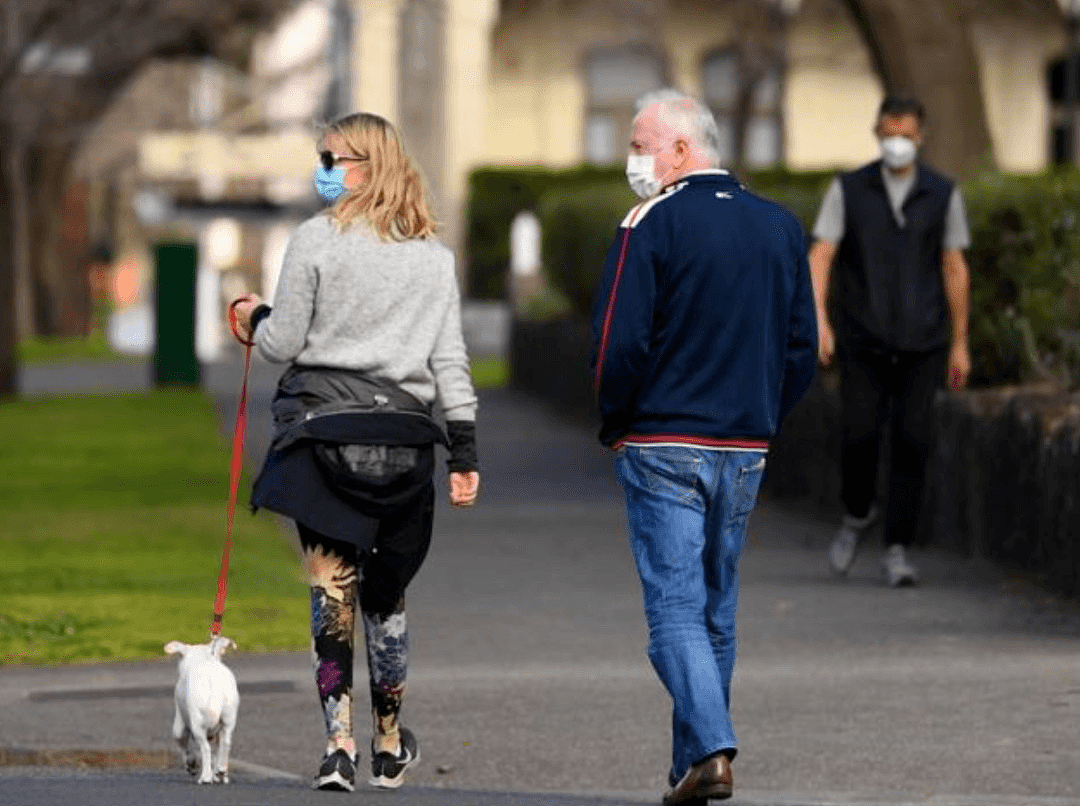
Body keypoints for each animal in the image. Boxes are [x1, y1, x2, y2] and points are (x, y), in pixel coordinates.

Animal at [162, 635, 238, 777]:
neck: (203, 659)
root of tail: (213, 684)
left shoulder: (180, 722)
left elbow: (181, 739)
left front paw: (191, 764)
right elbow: (218, 749)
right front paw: (217, 769)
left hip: (197, 724)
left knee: (205, 748)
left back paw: (206, 776)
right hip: (228, 719)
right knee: (225, 743)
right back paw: (221, 770)